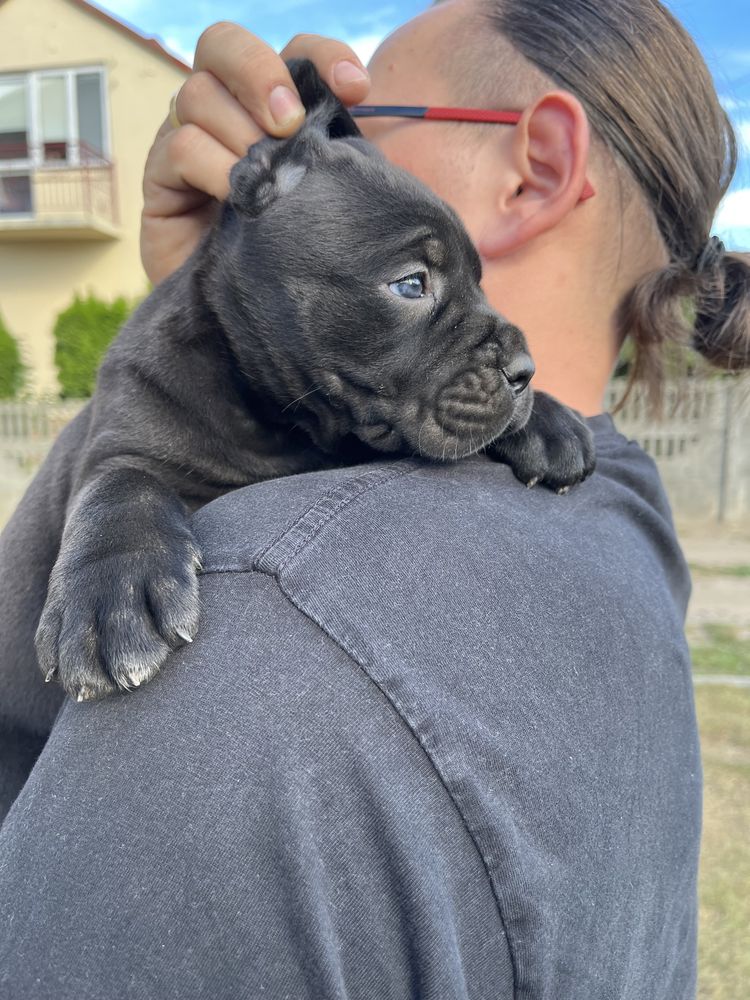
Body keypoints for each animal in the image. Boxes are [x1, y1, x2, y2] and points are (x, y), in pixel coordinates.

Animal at [30, 58, 600, 700]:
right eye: (412, 284)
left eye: (482, 284)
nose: (525, 369)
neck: (285, 420)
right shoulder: (125, 436)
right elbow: (121, 483)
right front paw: (113, 593)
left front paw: (550, 421)